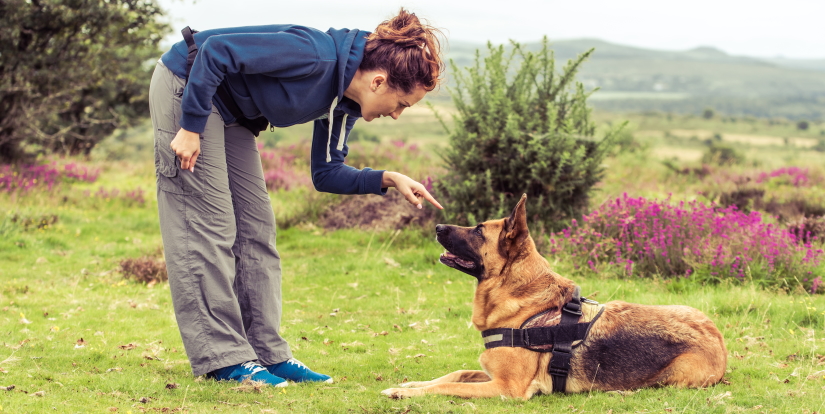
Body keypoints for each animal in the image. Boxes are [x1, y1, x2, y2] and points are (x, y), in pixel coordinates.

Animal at [384, 196, 724, 400]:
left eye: (479, 231)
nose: (438, 226)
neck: (518, 294)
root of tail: (720, 342)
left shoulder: (507, 387)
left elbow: (448, 385)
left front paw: (406, 393)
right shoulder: (490, 375)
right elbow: (456, 374)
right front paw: (409, 385)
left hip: (671, 377)